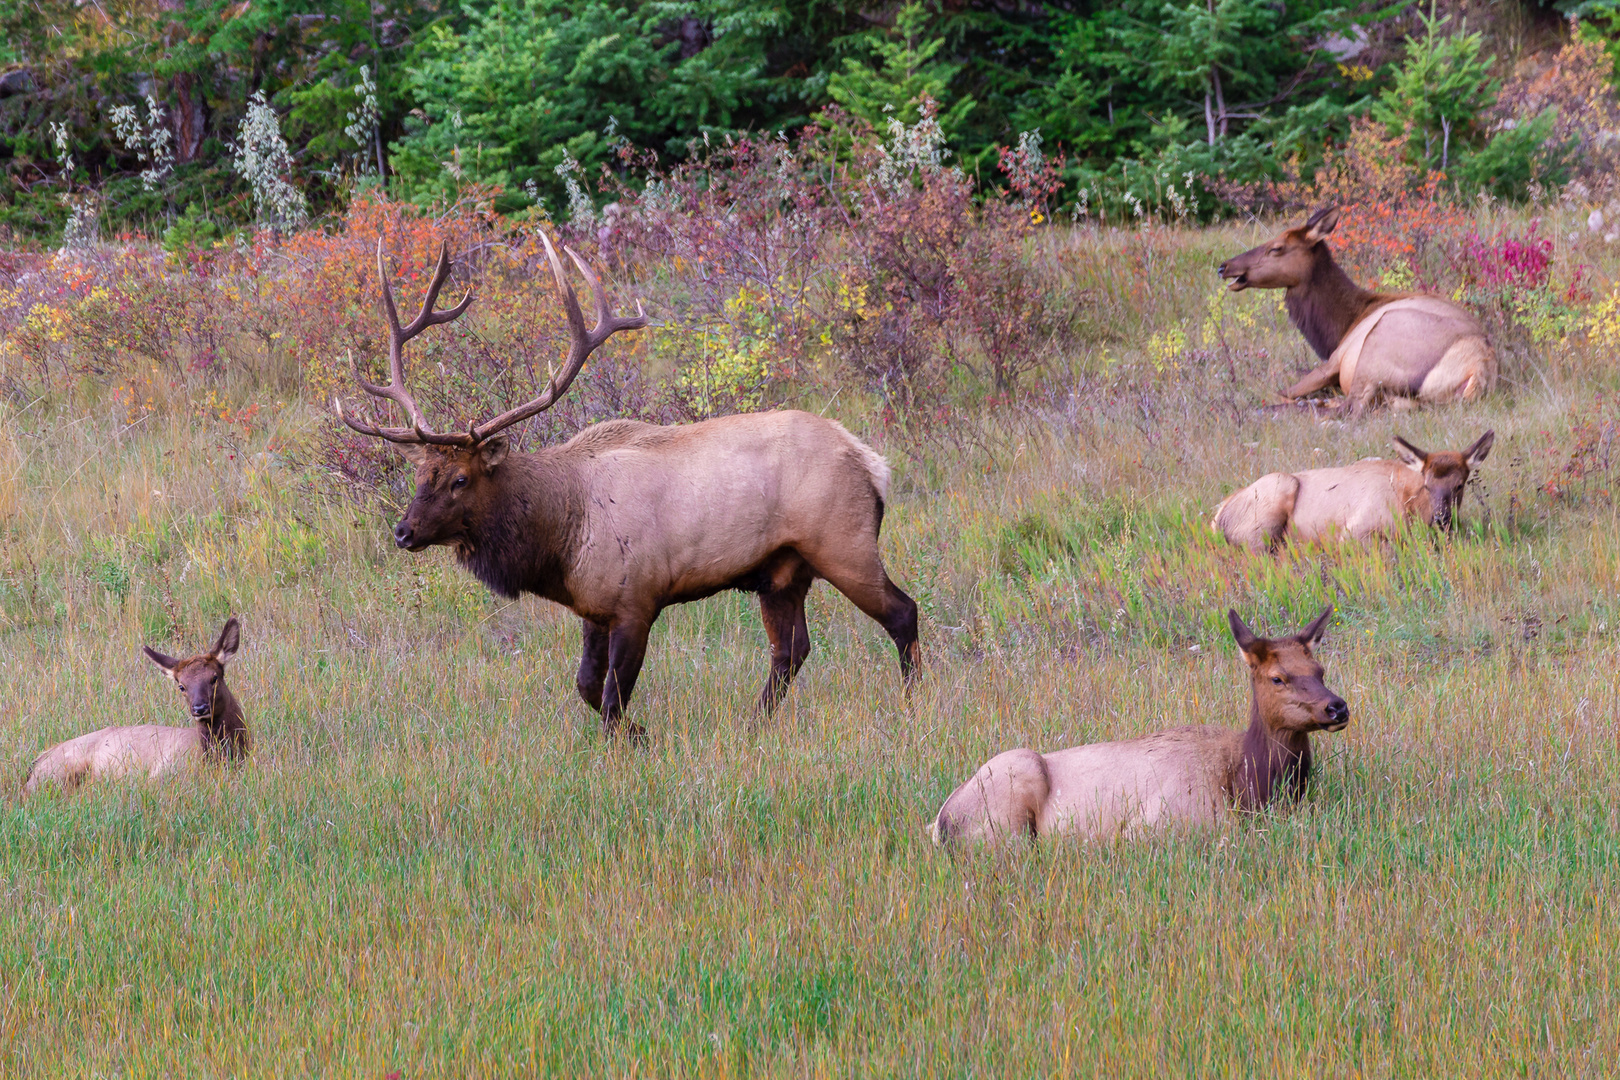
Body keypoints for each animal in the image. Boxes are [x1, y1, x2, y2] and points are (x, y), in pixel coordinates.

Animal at [22, 621, 252, 799]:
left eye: (214, 677)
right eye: (181, 686)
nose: (199, 708)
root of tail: (37, 761)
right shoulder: (162, 772)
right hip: (58, 771)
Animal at [335, 239, 920, 738]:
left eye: (460, 479)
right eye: (420, 476)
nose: (404, 532)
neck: (561, 536)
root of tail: (872, 461)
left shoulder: (638, 598)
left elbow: (614, 697)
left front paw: (633, 741)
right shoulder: (593, 606)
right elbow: (587, 687)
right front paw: (640, 733)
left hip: (843, 541)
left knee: (902, 612)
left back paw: (915, 704)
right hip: (782, 572)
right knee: (791, 650)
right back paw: (753, 725)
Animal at [933, 608, 1347, 841]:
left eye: (1320, 670)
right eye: (1277, 677)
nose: (1337, 707)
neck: (1249, 786)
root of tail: (941, 822)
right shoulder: (1157, 821)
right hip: (1008, 803)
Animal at [1218, 208, 1490, 414]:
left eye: (1277, 247)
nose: (1224, 266)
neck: (1341, 325)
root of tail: (1478, 370)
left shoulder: (1334, 359)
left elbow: (1279, 390)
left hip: (1376, 348)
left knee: (1348, 408)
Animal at [1218, 427, 1490, 553]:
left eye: (1459, 485)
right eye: (1427, 484)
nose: (1441, 518)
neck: (1410, 508)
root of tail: (1217, 517)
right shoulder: (1353, 531)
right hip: (1276, 493)